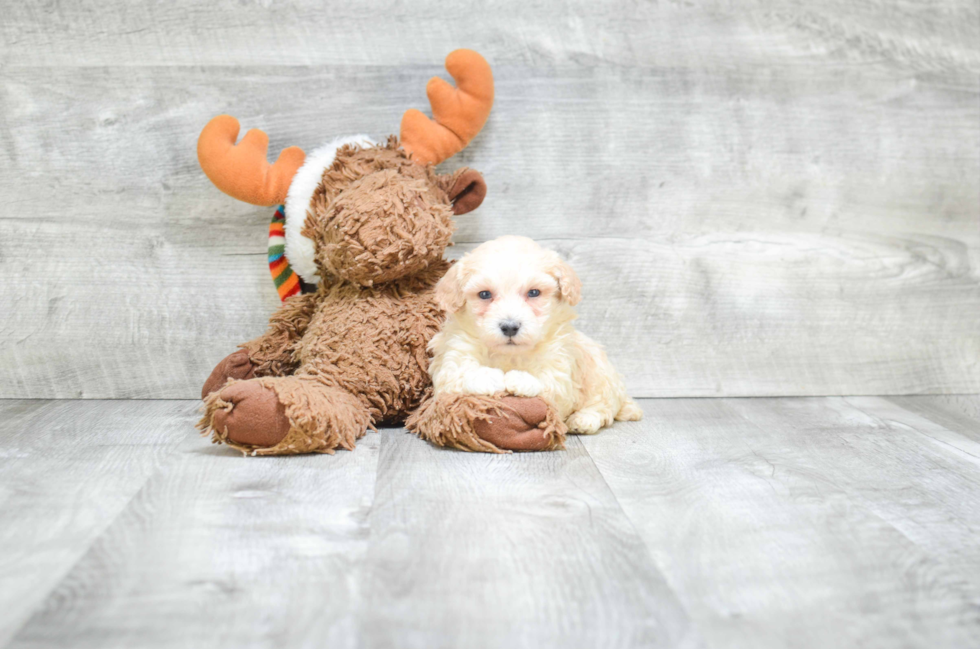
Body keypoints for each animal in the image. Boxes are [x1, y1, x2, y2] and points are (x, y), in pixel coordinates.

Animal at [430, 235, 644, 432]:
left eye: (533, 293)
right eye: (484, 294)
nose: (510, 327)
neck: (510, 355)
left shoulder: (560, 368)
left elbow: (549, 381)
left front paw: (521, 379)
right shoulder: (453, 356)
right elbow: (457, 374)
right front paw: (487, 376)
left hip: (600, 373)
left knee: (603, 405)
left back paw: (584, 419)